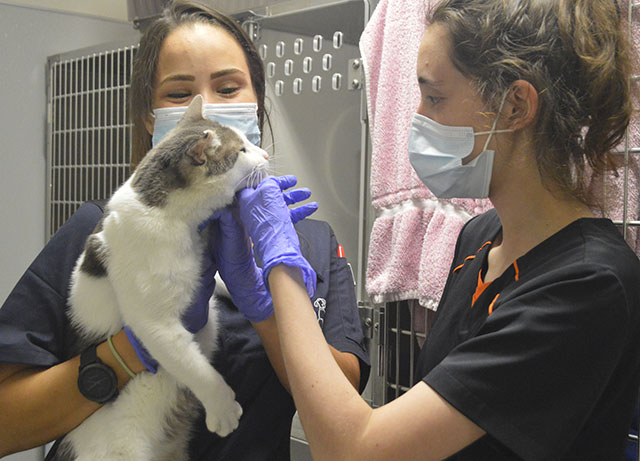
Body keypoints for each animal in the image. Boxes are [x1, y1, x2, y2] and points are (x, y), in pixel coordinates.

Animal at [51, 95, 268, 458]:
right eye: (241, 151)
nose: (265, 155)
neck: (177, 220)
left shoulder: (202, 276)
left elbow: (219, 281)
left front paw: (252, 286)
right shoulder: (155, 325)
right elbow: (195, 367)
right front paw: (222, 407)